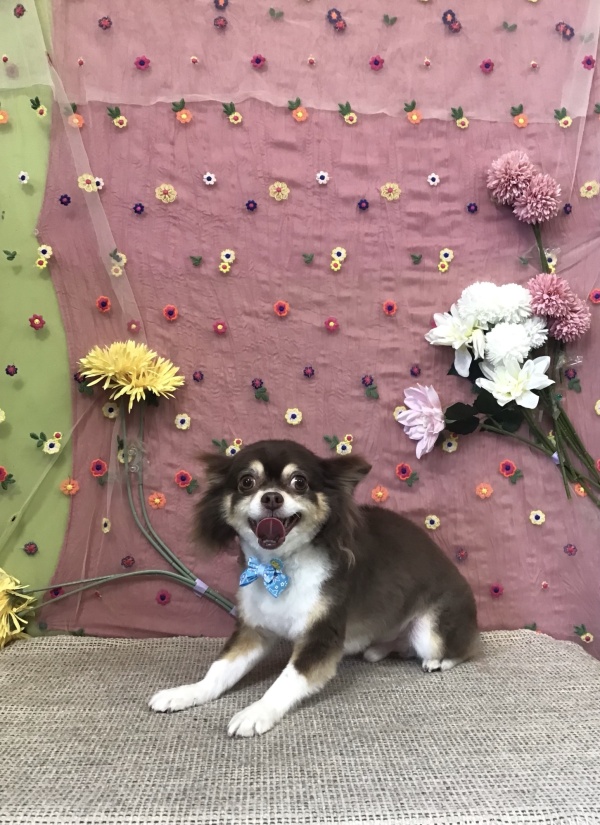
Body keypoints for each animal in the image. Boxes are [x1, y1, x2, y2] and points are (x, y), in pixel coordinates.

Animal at [149, 439, 479, 737]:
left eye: (299, 482)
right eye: (246, 481)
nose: (271, 497)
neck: (278, 567)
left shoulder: (321, 635)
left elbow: (287, 680)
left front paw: (257, 712)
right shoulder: (254, 630)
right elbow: (219, 671)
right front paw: (186, 693)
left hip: (431, 631)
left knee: (462, 649)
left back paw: (438, 661)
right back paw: (379, 649)